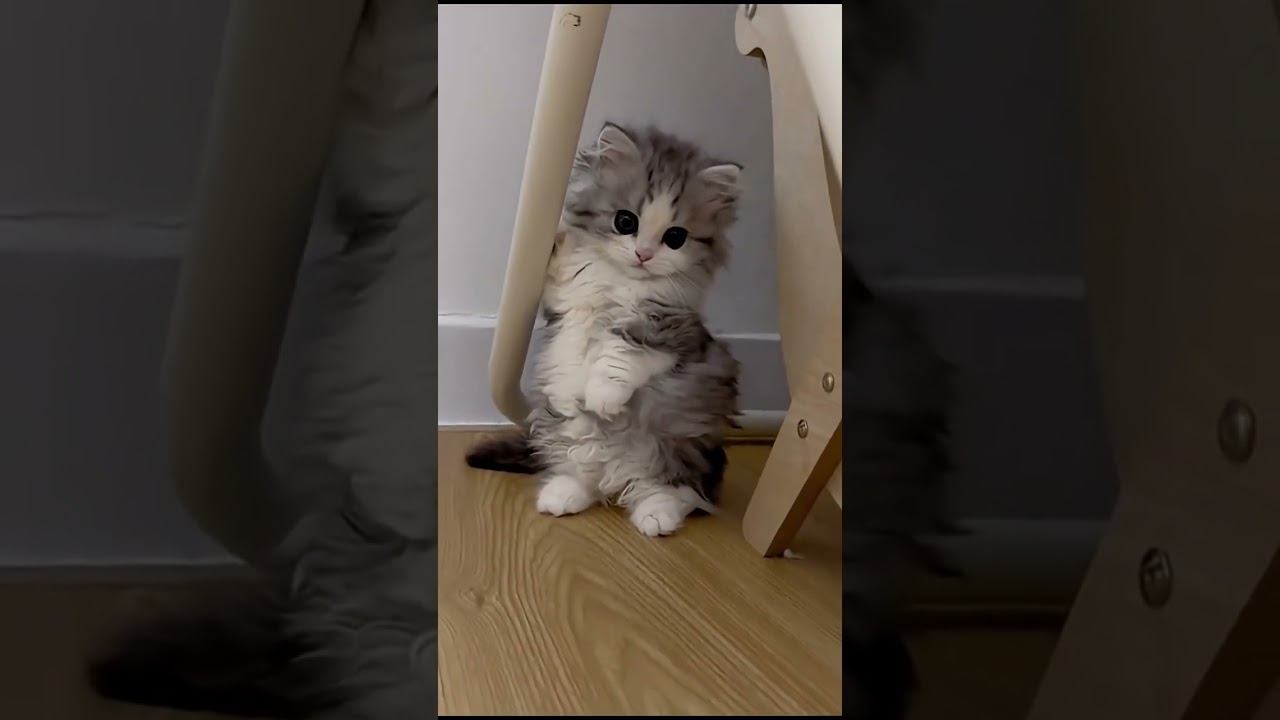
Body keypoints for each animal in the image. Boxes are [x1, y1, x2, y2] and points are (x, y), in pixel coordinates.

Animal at [467, 122, 743, 537]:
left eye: (675, 237)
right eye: (626, 222)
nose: (643, 254)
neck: (617, 283)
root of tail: (618, 474)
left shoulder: (672, 333)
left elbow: (621, 351)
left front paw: (601, 396)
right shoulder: (563, 299)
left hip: (678, 442)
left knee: (674, 488)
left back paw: (656, 515)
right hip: (567, 432)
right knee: (586, 476)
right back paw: (562, 494)